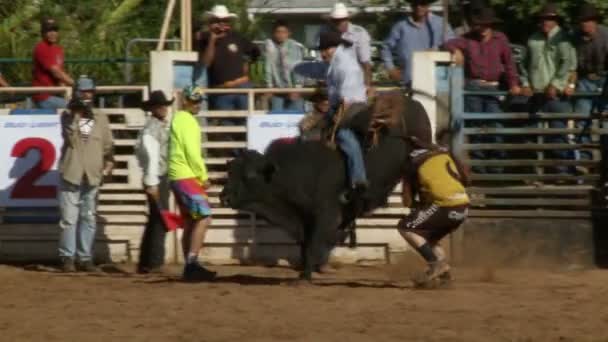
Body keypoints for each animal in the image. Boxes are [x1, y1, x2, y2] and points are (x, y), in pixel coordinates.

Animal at [218, 96, 432, 280]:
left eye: (250, 175)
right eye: (230, 171)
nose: (223, 197)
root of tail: (411, 101)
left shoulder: (325, 215)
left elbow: (313, 244)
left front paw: (305, 276)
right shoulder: (304, 218)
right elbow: (305, 245)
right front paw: (306, 271)